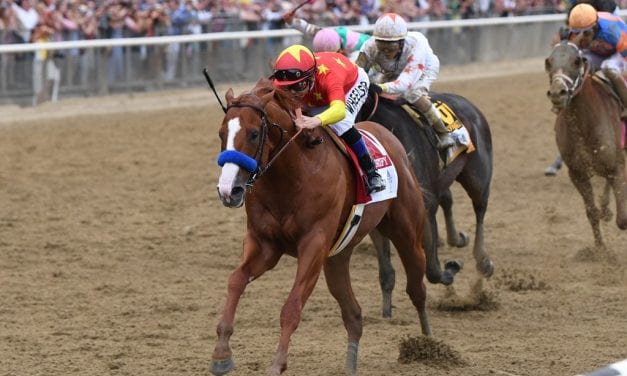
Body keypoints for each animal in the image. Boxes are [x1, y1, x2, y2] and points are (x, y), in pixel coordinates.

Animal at [211, 78, 432, 374]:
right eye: (222, 133)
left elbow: (292, 306)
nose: (228, 191)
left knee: (417, 285)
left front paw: (277, 364)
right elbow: (236, 280)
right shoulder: (265, 244)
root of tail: (389, 136)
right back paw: (351, 364)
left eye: (254, 134)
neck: (292, 176)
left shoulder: (313, 244)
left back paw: (428, 344)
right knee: (353, 314)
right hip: (337, 256)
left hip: (406, 231)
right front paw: (221, 354)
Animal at [544, 40, 627, 247]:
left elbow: (623, 219)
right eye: (548, 62)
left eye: (576, 61)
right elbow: (592, 213)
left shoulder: (617, 166)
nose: (557, 93)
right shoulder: (577, 173)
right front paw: (599, 249)